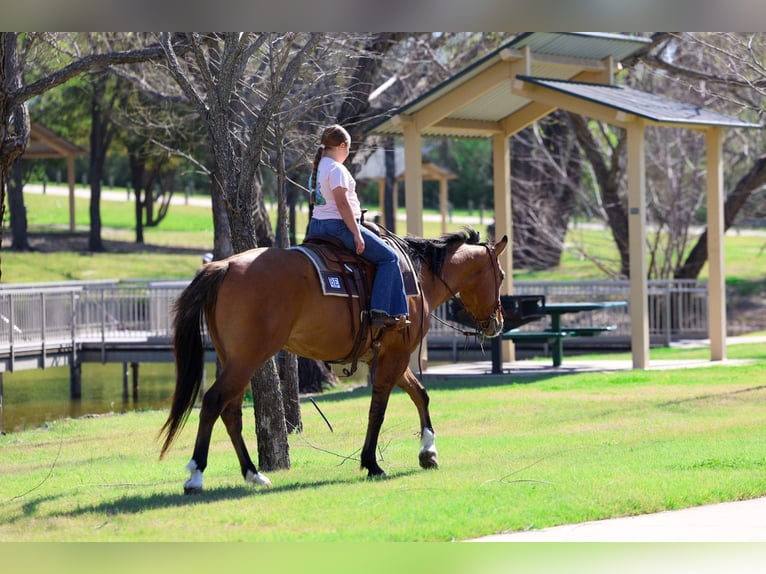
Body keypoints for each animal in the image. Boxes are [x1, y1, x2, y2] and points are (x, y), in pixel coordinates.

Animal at [159, 227, 507, 492]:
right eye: (502, 275)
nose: (497, 323)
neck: (416, 279)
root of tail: (227, 266)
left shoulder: (386, 356)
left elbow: (419, 394)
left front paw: (428, 452)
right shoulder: (395, 354)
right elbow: (378, 409)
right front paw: (371, 462)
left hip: (236, 359)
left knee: (230, 412)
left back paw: (253, 474)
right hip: (246, 358)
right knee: (213, 403)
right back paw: (196, 475)